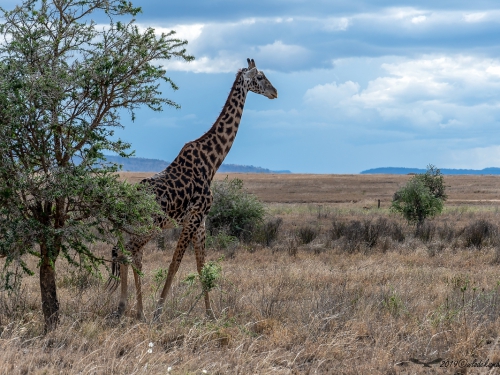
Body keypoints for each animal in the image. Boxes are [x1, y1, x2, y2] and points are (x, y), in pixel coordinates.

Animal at [107, 58, 278, 320]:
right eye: (259, 77)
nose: (274, 92)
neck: (212, 162)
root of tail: (125, 203)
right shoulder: (193, 218)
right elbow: (174, 264)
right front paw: (158, 312)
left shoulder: (201, 221)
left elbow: (201, 266)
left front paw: (210, 314)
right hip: (150, 226)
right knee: (129, 253)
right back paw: (134, 310)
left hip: (134, 227)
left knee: (128, 254)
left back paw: (130, 309)